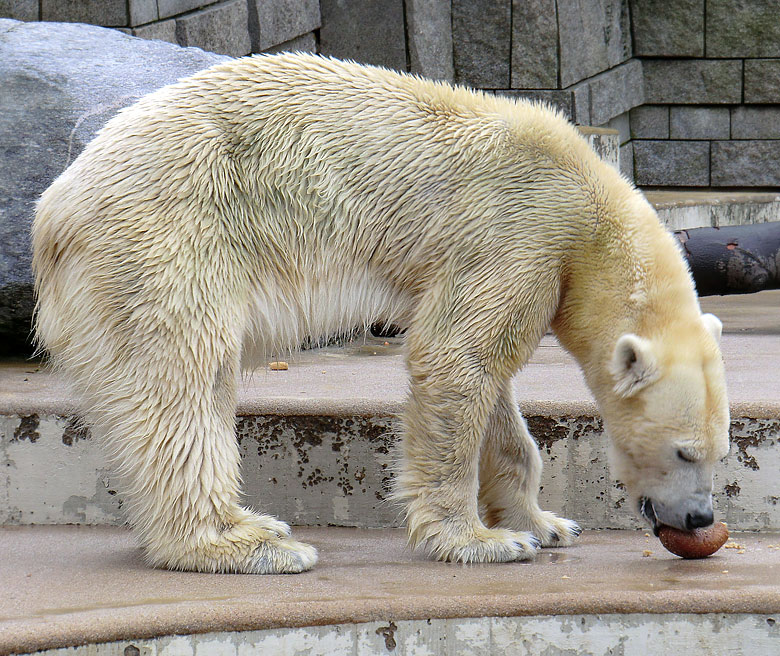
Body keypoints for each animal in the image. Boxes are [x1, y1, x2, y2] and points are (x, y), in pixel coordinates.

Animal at [32, 53, 732, 572]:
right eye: (684, 453)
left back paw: (255, 525)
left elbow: (491, 383)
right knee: (179, 380)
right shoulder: (518, 230)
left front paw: (546, 523)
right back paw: (246, 543)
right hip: (168, 239)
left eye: (718, 452)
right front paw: (479, 541)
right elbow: (455, 357)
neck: (590, 207)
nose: (699, 518)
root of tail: (54, 212)